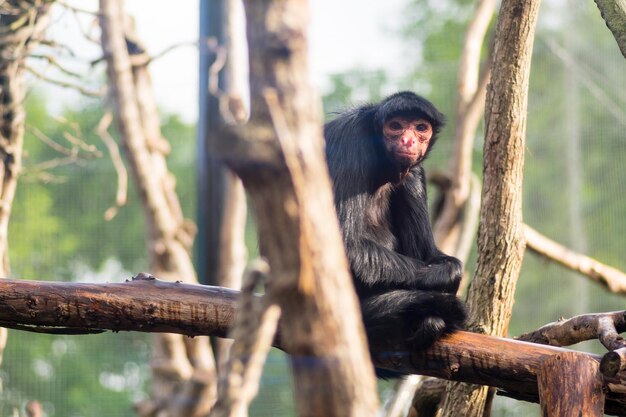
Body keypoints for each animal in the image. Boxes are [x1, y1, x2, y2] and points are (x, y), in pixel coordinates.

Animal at [324, 92, 466, 360]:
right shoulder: (350, 141)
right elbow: (348, 248)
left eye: (421, 128)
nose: (408, 140)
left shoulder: (416, 171)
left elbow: (434, 256)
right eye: (396, 126)